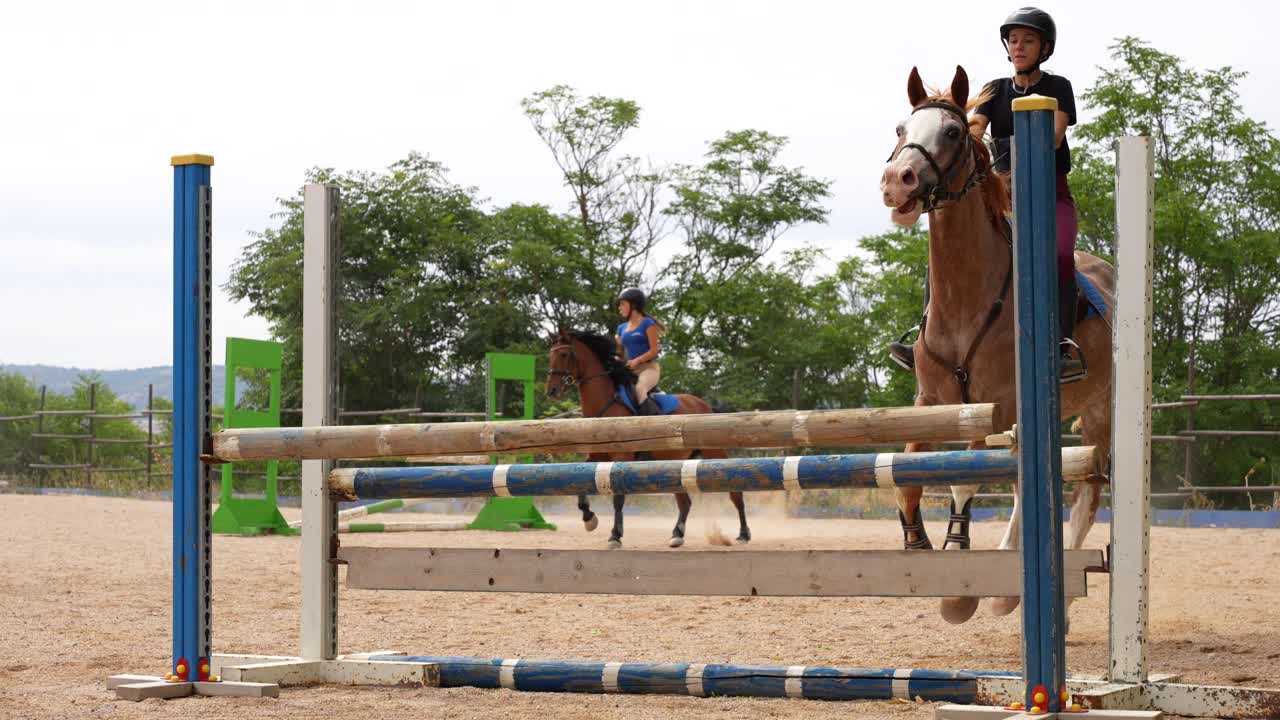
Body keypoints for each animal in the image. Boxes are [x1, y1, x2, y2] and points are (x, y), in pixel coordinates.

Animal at [544, 329, 751, 550]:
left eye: (564, 354)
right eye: (551, 355)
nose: (551, 390)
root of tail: (705, 405)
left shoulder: (622, 458)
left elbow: (618, 498)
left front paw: (615, 536)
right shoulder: (598, 455)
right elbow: (581, 488)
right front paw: (589, 519)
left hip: (713, 453)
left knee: (735, 494)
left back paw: (743, 534)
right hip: (674, 461)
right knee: (685, 502)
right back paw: (677, 535)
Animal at [878, 65, 1114, 624]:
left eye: (953, 132)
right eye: (901, 128)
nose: (897, 182)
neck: (966, 300)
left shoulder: (995, 407)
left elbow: (965, 477)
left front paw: (957, 590)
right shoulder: (930, 403)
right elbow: (907, 476)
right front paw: (918, 546)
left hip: (1099, 411)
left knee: (1083, 496)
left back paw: (1036, 598)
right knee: (1027, 485)